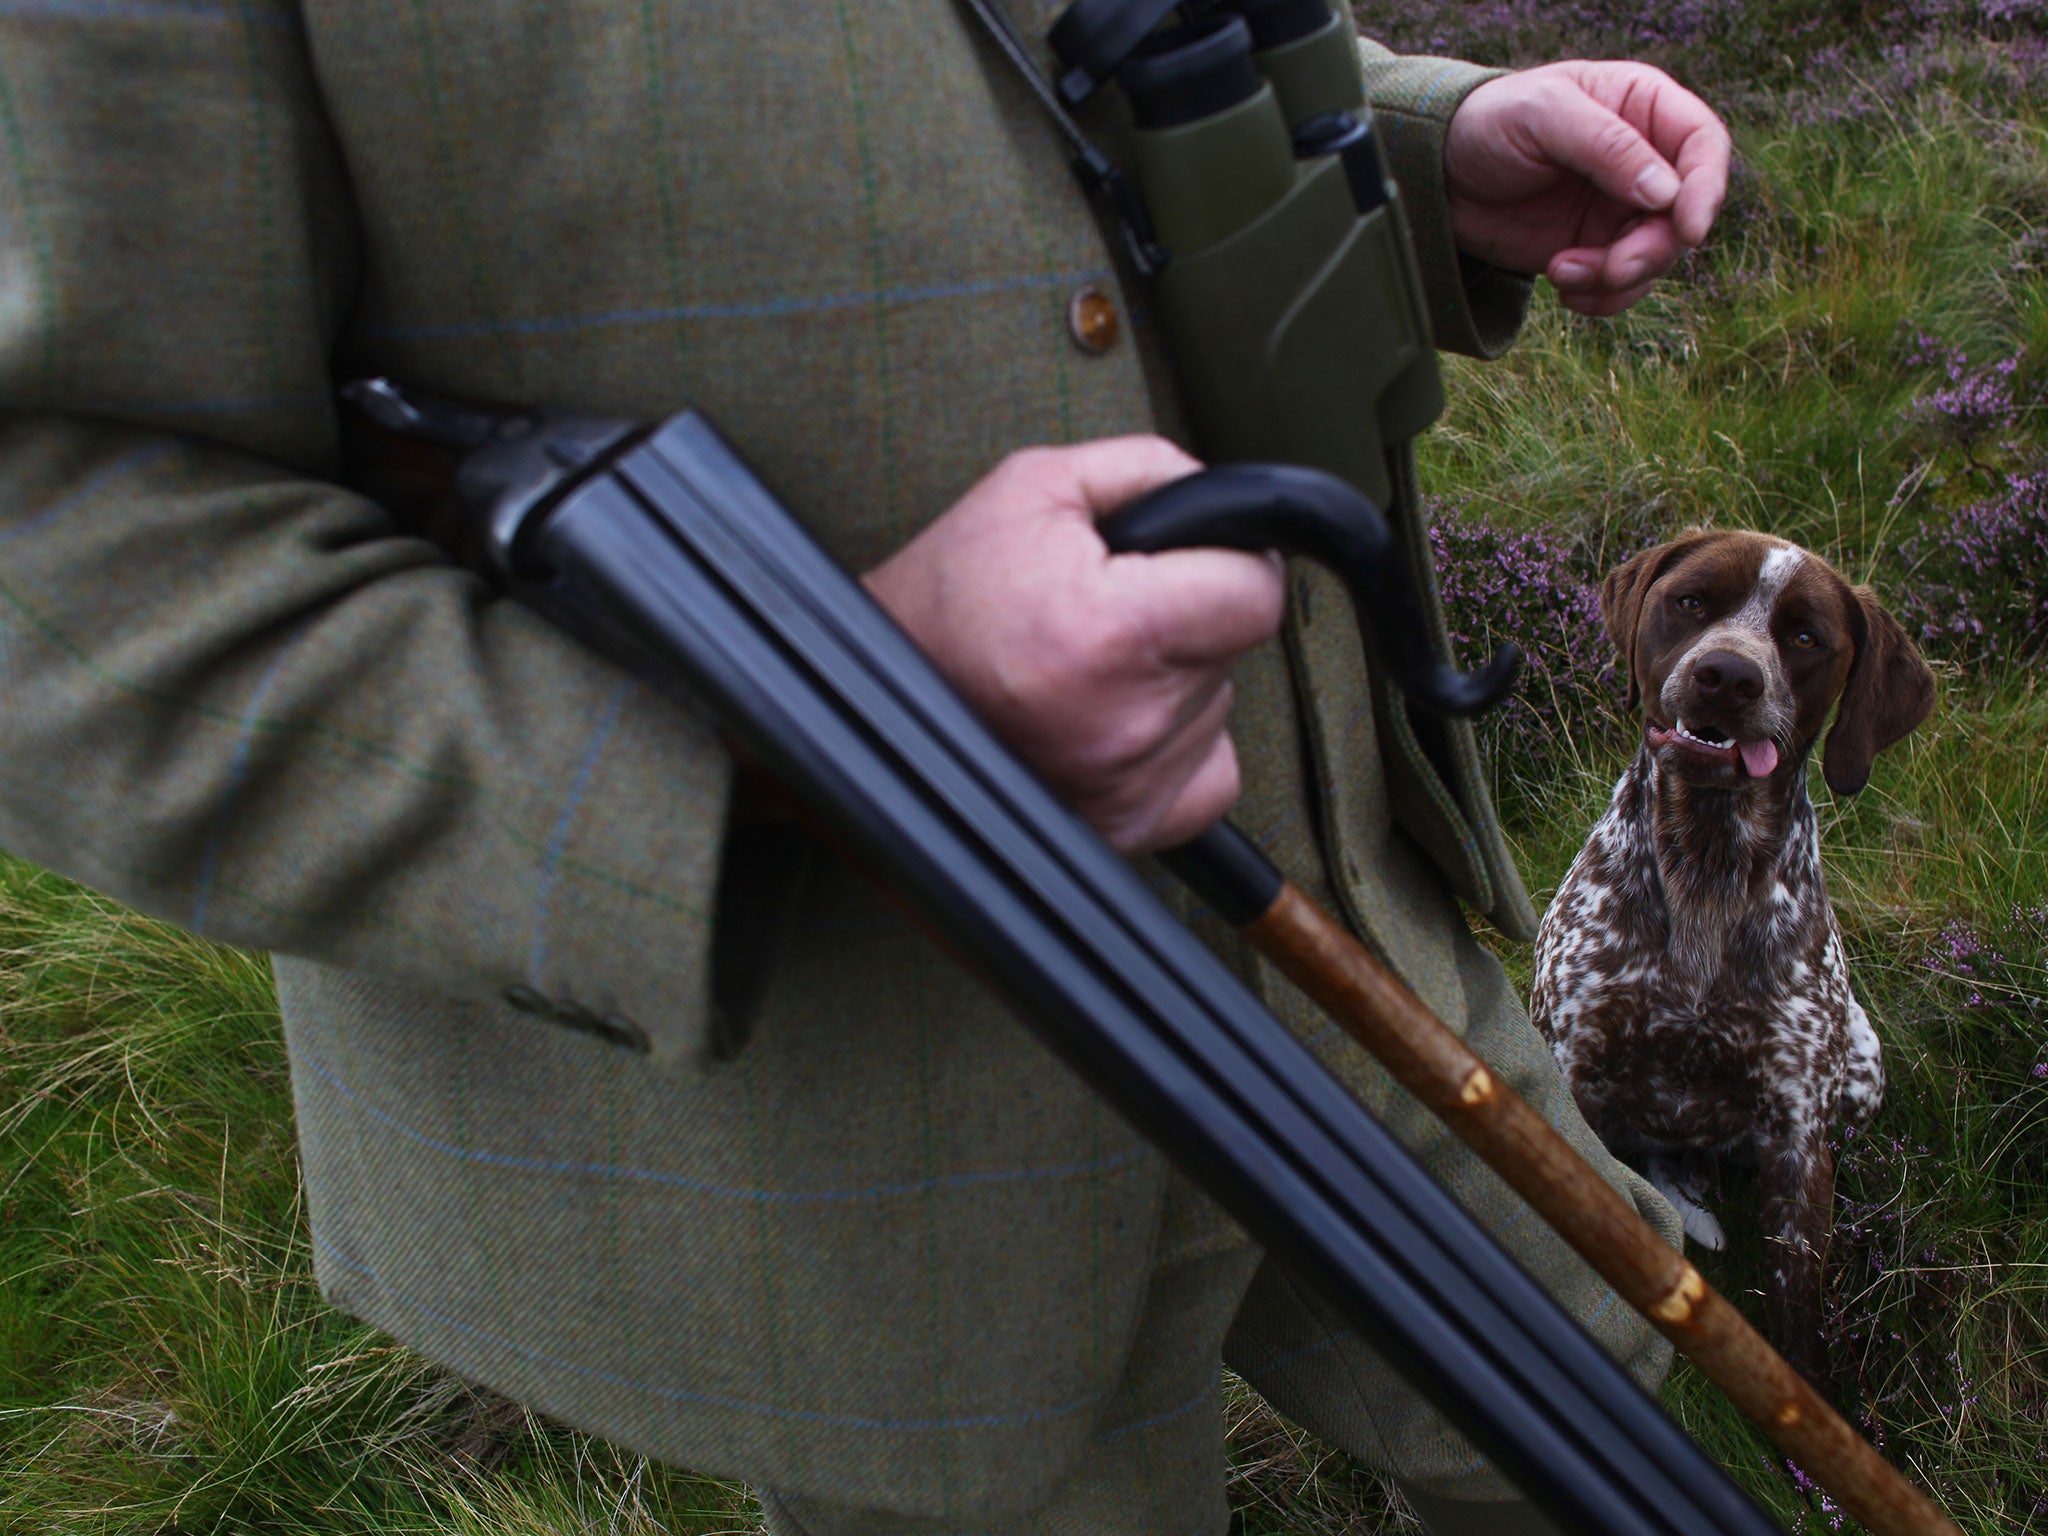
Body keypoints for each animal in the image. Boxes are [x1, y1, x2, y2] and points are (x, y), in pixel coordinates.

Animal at [1540, 536, 1933, 1392]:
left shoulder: (1797, 1140)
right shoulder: (1573, 1072)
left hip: (1862, 1068)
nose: (1727, 675)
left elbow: (1798, 1311)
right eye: (1691, 601)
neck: (1707, 861)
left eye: (1806, 637)